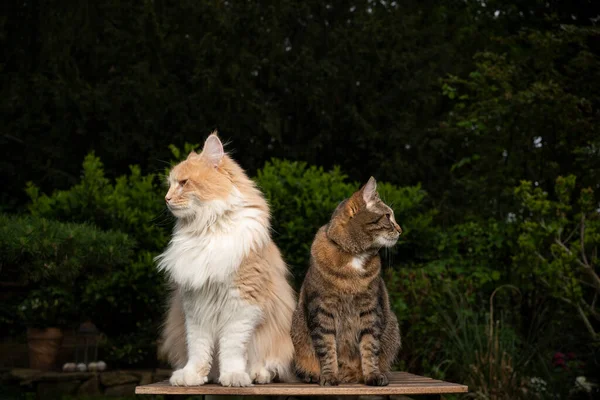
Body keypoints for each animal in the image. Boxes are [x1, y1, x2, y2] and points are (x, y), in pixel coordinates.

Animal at [155, 133, 296, 386]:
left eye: (183, 183)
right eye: (170, 185)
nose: (166, 198)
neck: (207, 228)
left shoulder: (241, 304)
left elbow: (231, 349)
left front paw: (233, 376)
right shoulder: (195, 307)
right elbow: (198, 350)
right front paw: (193, 376)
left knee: (269, 365)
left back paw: (257, 375)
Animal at [290, 177, 398, 386]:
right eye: (388, 216)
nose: (400, 229)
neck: (354, 256)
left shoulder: (370, 308)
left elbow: (369, 345)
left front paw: (372, 375)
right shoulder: (322, 308)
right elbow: (327, 346)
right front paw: (330, 376)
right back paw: (312, 374)